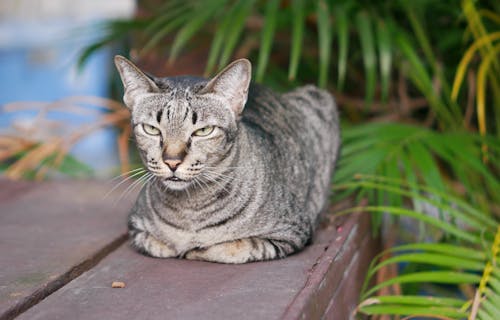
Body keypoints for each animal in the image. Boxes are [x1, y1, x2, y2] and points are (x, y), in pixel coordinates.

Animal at [113, 55, 340, 264]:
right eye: (151, 129)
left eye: (203, 131)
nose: (172, 161)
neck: (190, 210)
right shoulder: (136, 228)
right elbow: (158, 244)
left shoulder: (290, 231)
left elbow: (230, 248)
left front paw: (194, 248)